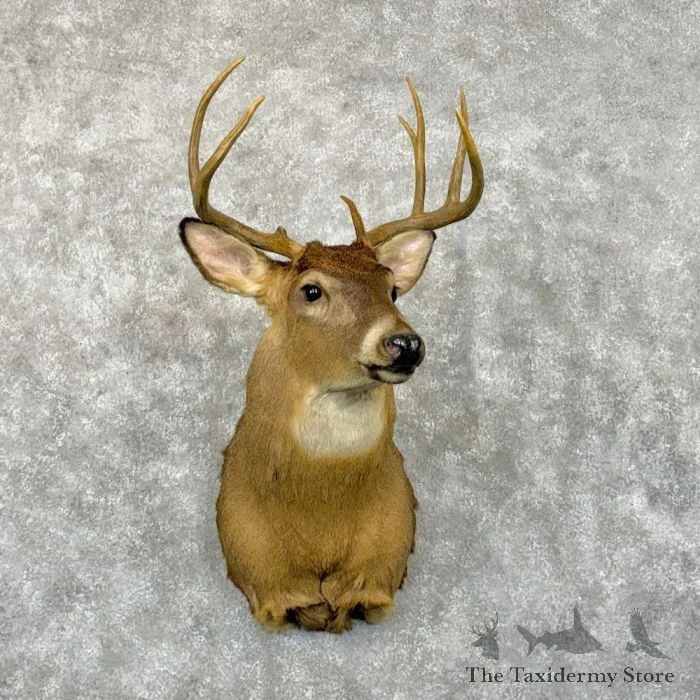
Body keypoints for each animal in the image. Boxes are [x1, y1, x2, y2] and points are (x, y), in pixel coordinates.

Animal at [179, 58, 483, 633]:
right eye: (311, 290)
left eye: (391, 287)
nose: (404, 343)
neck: (320, 524)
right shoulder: (265, 585)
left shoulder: (381, 577)